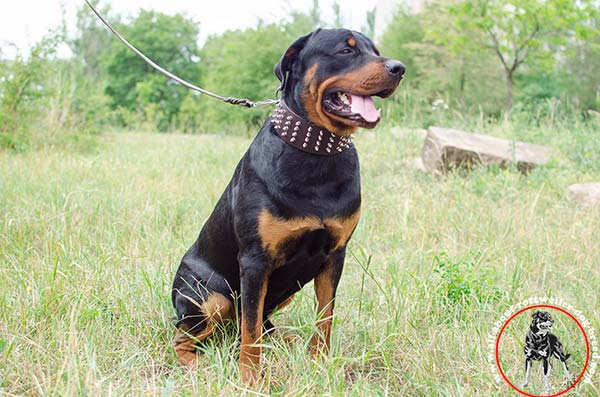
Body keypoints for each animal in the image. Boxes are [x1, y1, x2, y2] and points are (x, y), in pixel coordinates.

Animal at [170, 28, 404, 384]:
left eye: (375, 51)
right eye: (345, 51)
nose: (398, 68)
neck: (316, 151)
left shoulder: (335, 255)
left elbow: (324, 318)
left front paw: (319, 364)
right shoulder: (255, 261)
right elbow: (250, 332)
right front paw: (251, 380)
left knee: (258, 325)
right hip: (211, 297)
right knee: (187, 335)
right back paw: (196, 365)